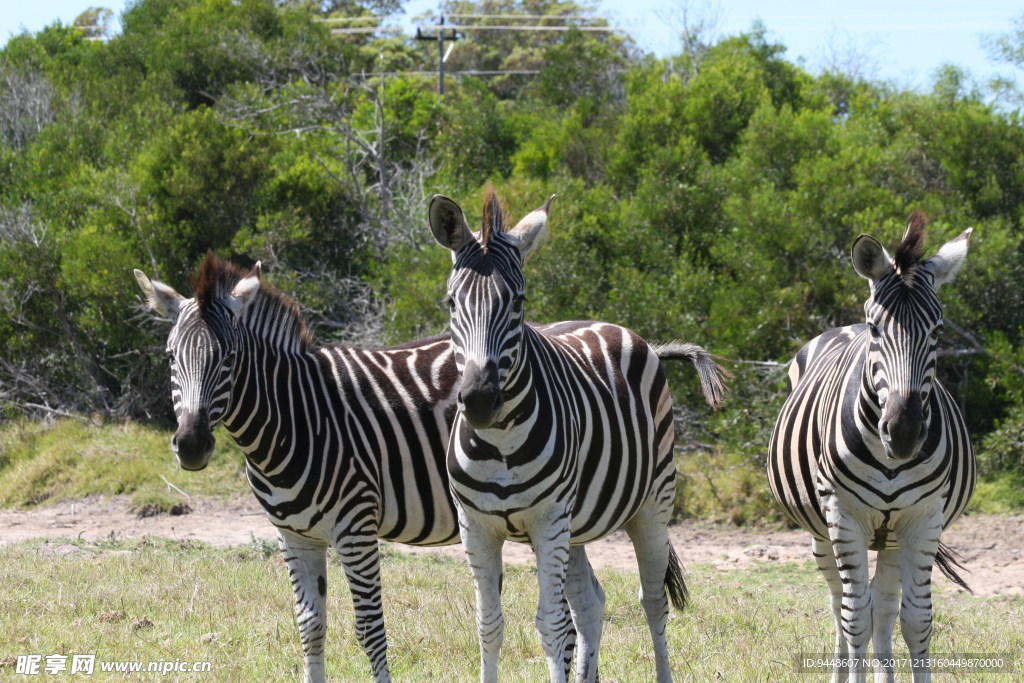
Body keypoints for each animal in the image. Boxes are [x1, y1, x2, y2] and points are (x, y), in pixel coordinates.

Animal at [428, 189, 733, 683]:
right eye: (452, 303)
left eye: (518, 301)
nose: (478, 400)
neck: (500, 444)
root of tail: (627, 332)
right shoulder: (476, 526)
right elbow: (489, 623)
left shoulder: (548, 519)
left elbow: (551, 625)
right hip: (575, 526)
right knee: (591, 603)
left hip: (652, 504)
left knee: (652, 602)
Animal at [770, 215, 974, 683]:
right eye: (878, 330)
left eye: (938, 331)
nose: (903, 432)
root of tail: (846, 325)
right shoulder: (843, 517)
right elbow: (854, 618)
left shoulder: (923, 519)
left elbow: (915, 620)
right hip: (823, 531)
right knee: (841, 606)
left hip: (892, 536)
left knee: (882, 608)